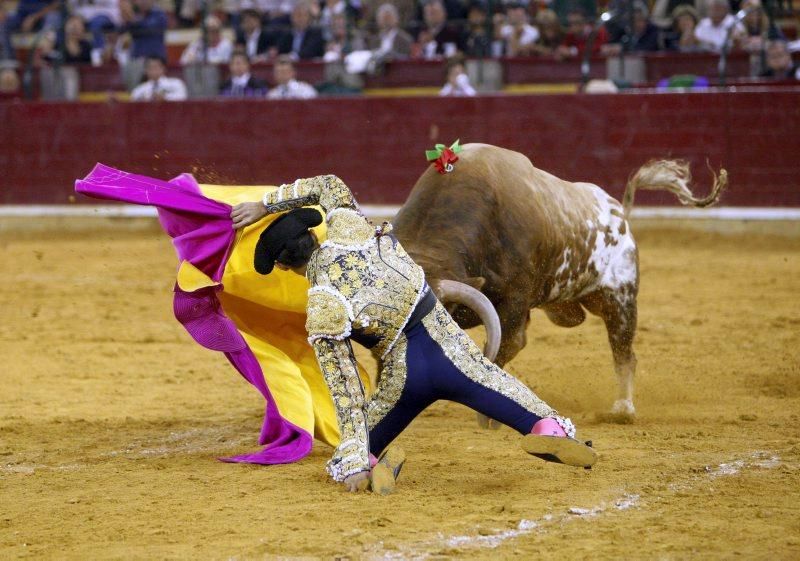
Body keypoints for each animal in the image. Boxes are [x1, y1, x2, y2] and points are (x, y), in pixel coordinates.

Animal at [394, 143, 724, 420]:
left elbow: (505, 348)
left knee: (624, 353)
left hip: (621, 301)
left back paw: (623, 408)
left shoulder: (514, 306)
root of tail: (621, 213)